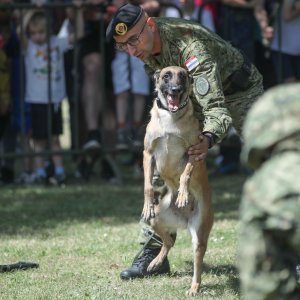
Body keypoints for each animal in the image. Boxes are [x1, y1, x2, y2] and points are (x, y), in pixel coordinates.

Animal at [142, 65, 213, 296]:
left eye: (182, 76)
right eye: (166, 76)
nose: (175, 90)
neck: (170, 120)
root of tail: (185, 220)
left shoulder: (193, 152)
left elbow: (185, 175)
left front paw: (182, 194)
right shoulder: (148, 153)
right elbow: (148, 186)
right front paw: (147, 204)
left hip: (199, 235)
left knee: (197, 263)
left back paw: (194, 287)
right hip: (158, 219)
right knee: (169, 241)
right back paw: (155, 261)